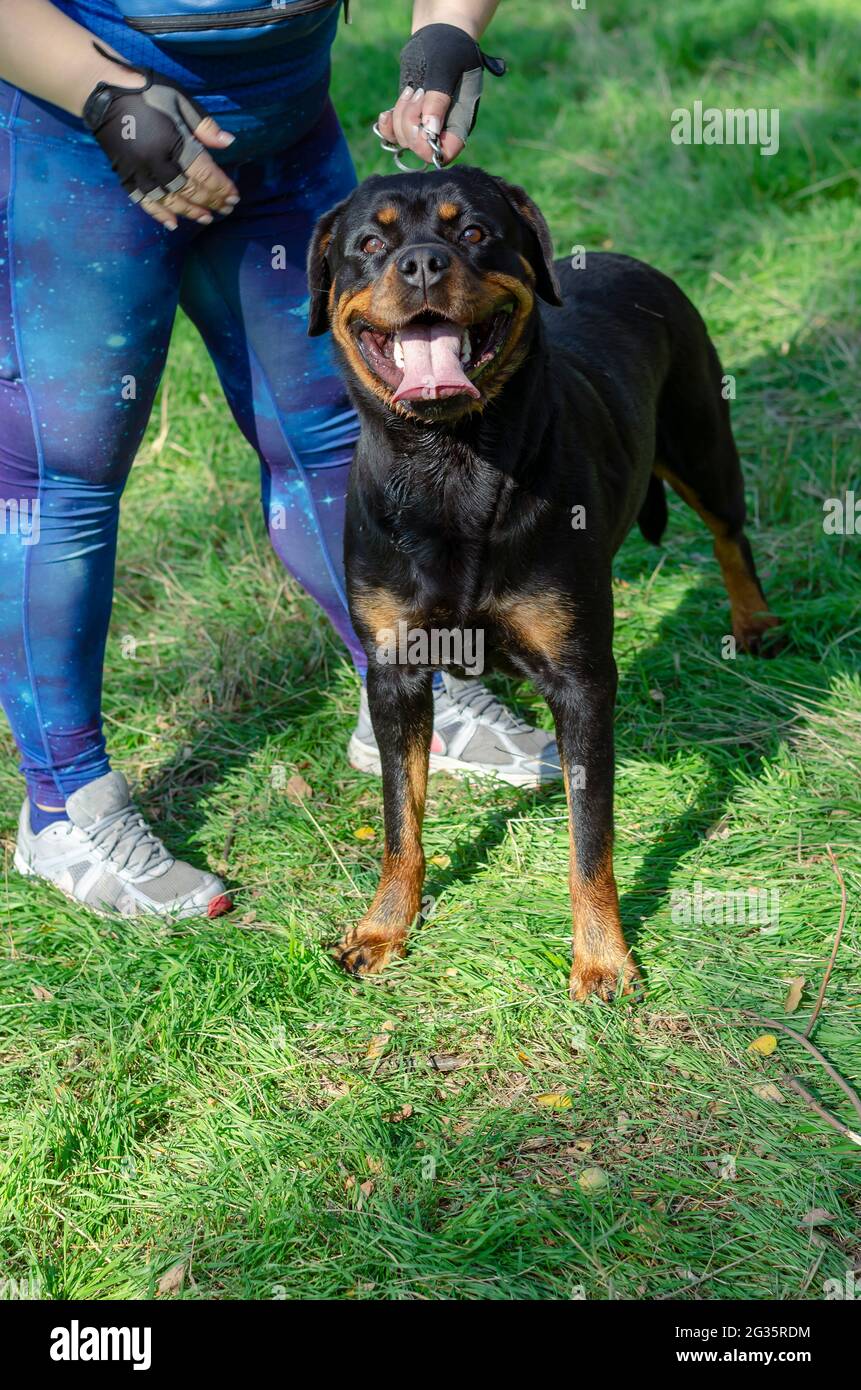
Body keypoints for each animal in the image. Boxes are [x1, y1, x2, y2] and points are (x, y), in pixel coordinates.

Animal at [306, 168, 778, 1000]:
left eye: (472, 232)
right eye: (367, 243)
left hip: (700, 438)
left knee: (728, 532)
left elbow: (590, 839)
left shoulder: (580, 682)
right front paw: (384, 927)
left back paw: (752, 623)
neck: (451, 464)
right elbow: (400, 819)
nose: (420, 264)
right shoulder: (395, 673)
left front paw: (603, 959)